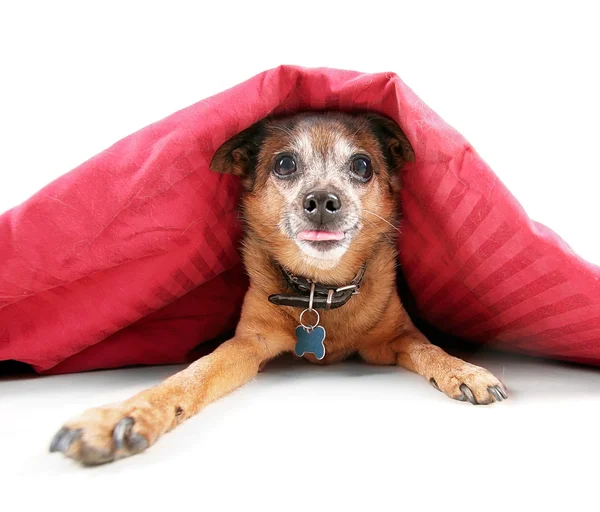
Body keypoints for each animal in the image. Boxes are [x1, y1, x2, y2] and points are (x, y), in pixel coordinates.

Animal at [49, 111, 506, 464]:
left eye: (362, 166)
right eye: (284, 164)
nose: (322, 201)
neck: (321, 291)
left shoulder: (394, 337)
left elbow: (428, 348)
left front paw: (464, 370)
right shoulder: (249, 344)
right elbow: (193, 375)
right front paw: (124, 415)